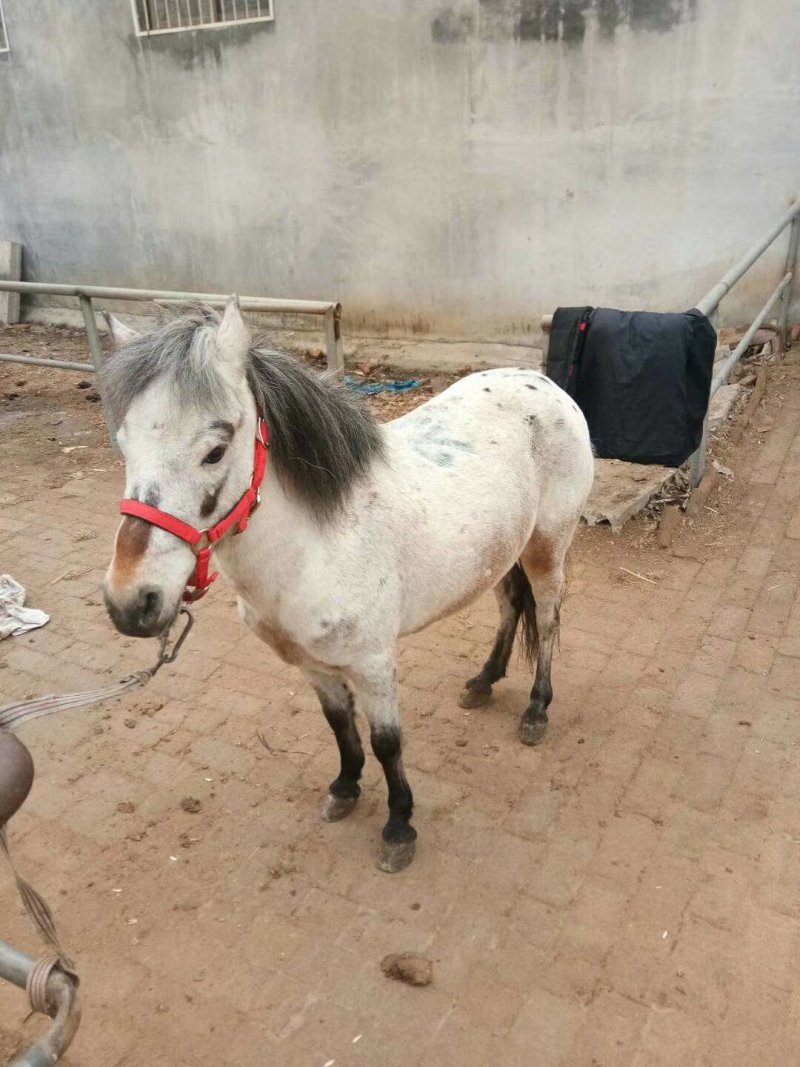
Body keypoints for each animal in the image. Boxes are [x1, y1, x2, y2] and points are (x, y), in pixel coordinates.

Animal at [100, 299, 594, 872]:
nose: (130, 602)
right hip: (502, 552)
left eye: (215, 451)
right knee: (511, 606)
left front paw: (399, 826)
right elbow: (340, 726)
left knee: (548, 618)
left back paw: (536, 710)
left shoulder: (373, 663)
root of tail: (547, 386)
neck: (314, 545)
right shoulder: (313, 664)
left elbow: (387, 743)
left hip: (546, 546)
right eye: (122, 443)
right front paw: (345, 788)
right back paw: (483, 682)